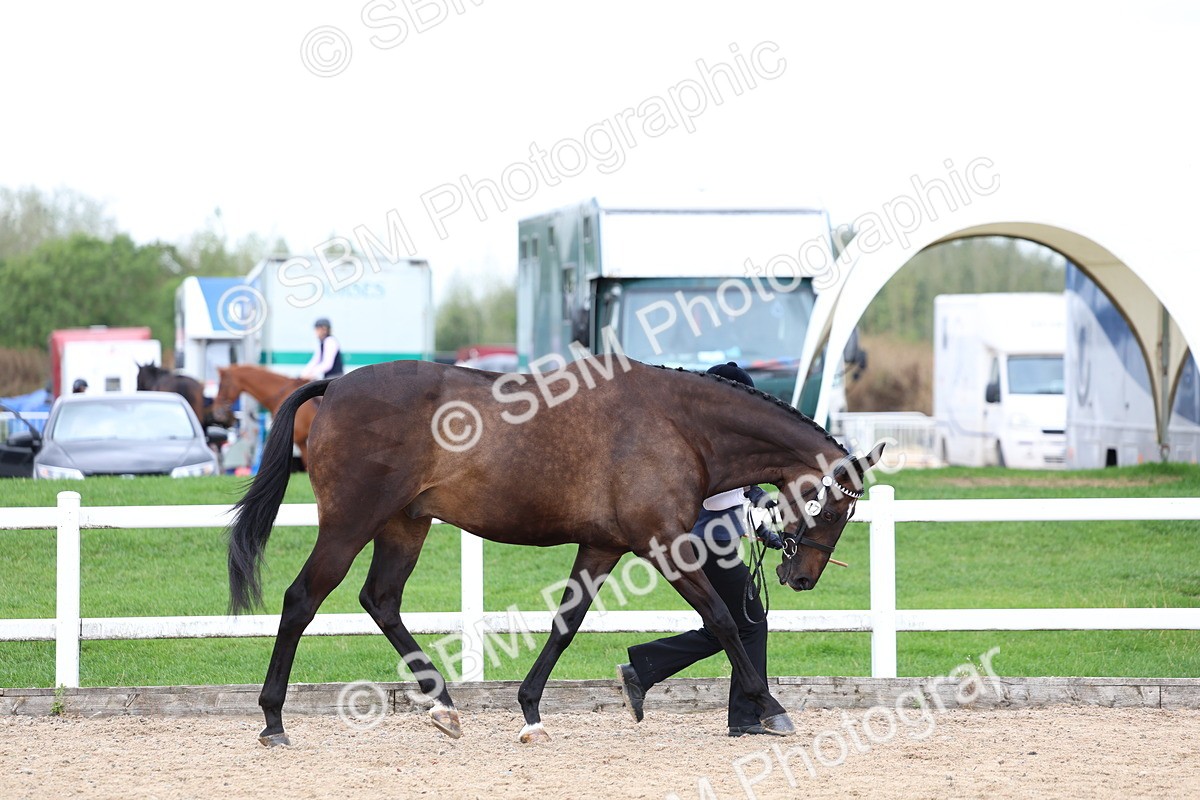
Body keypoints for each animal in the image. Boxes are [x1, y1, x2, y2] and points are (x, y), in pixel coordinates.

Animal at [226, 356, 885, 747]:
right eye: (836, 508)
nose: (803, 576)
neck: (680, 426)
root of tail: (336, 385)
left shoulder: (601, 546)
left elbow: (565, 625)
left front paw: (530, 711)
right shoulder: (664, 544)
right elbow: (723, 619)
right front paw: (770, 706)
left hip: (404, 525)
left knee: (381, 600)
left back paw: (443, 708)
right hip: (350, 524)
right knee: (301, 600)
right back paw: (273, 720)